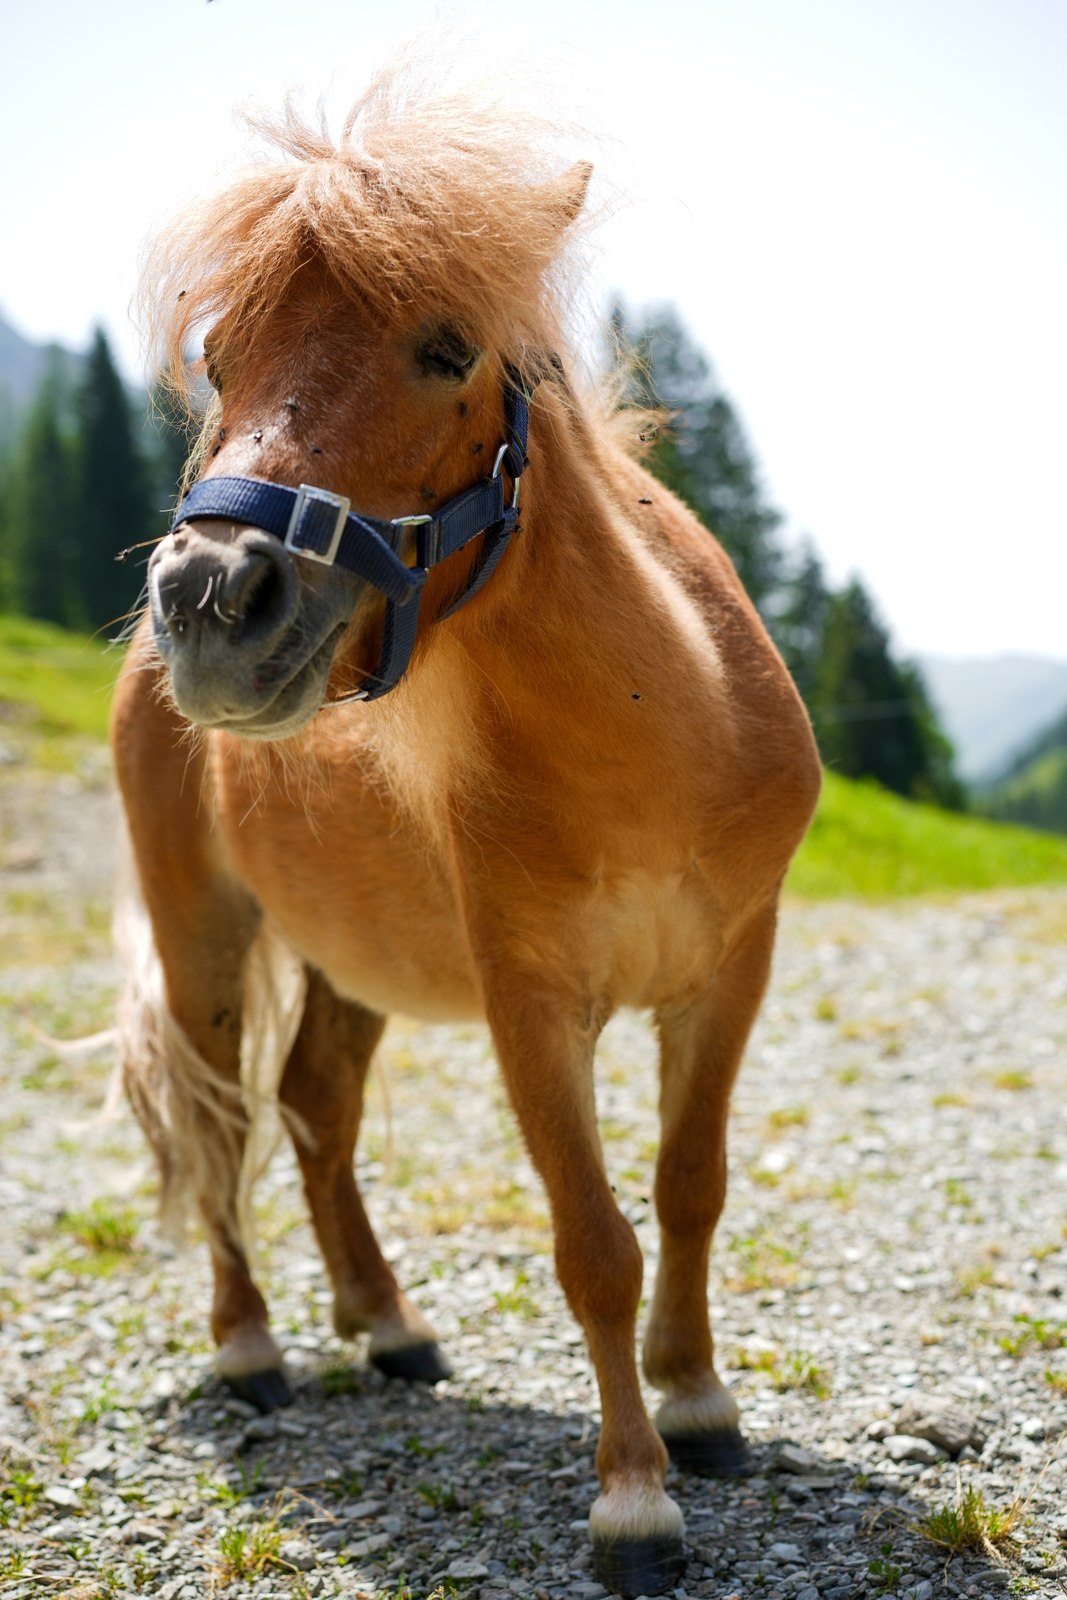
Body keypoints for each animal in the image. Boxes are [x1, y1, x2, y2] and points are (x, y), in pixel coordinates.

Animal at [111, 66, 821, 1598]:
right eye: (218, 356)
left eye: (444, 349)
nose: (209, 600)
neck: (656, 742)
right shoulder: (529, 999)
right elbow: (594, 1241)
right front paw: (633, 1500)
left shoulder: (729, 972)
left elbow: (687, 1188)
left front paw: (698, 1403)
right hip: (204, 937)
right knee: (220, 1119)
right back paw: (250, 1348)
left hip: (349, 961)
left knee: (315, 1107)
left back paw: (387, 1326)